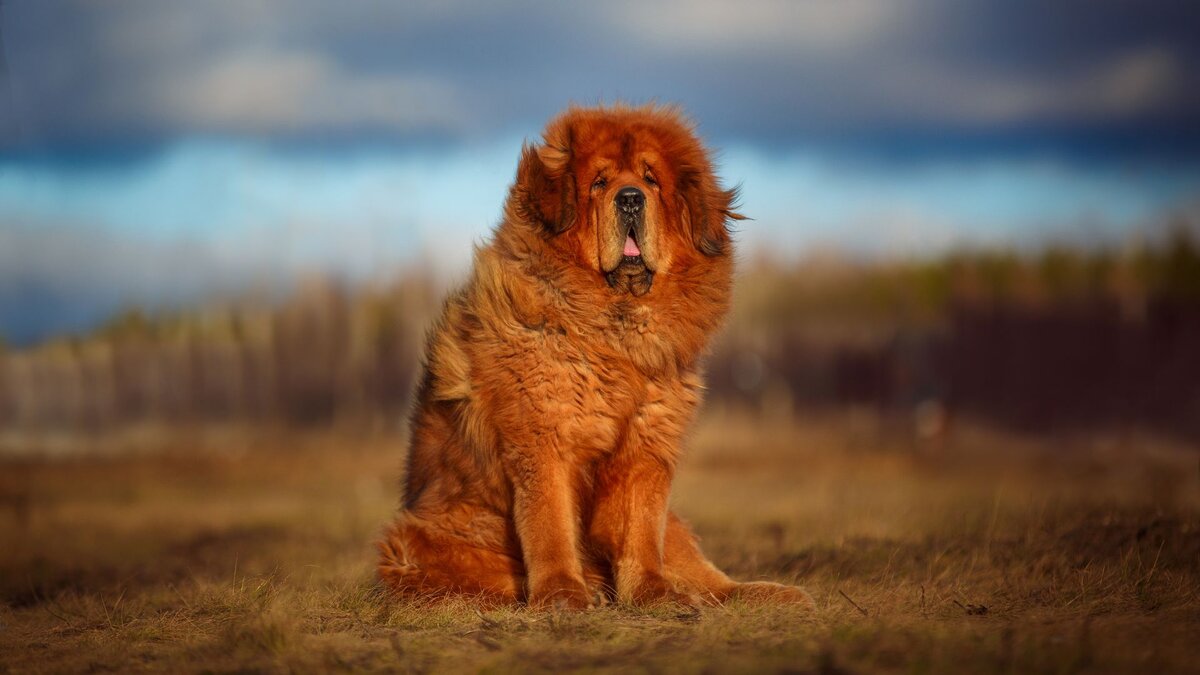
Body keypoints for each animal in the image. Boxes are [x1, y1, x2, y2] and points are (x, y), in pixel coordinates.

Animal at [381, 102, 816, 607]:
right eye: (599, 183)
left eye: (650, 180)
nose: (630, 199)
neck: (614, 336)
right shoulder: (544, 440)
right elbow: (550, 525)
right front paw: (562, 593)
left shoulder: (646, 447)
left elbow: (639, 530)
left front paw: (652, 593)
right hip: (418, 540)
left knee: (710, 579)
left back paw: (768, 593)